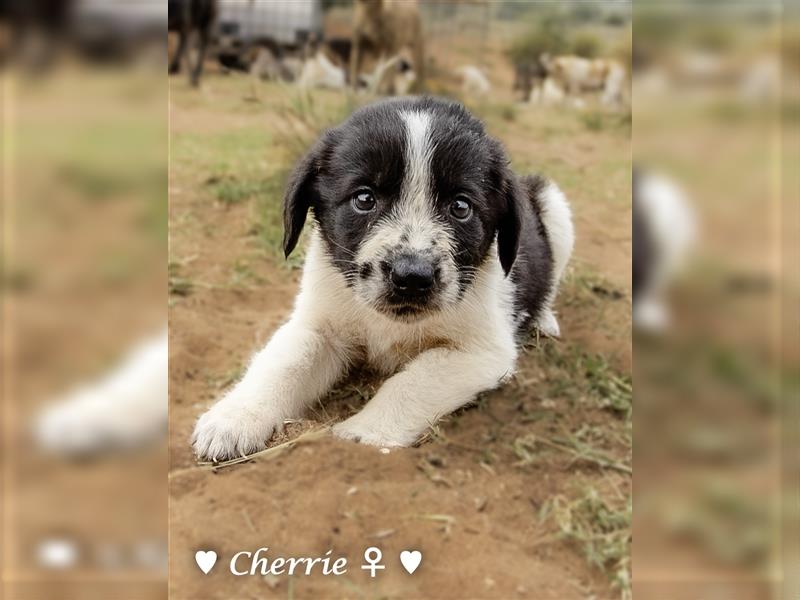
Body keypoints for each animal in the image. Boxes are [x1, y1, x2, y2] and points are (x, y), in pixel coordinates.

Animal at [191, 97, 572, 460]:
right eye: (364, 199)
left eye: (461, 207)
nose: (412, 277)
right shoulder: (319, 325)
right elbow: (284, 361)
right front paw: (236, 416)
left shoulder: (481, 350)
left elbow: (414, 381)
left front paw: (365, 432)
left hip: (554, 206)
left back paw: (544, 319)